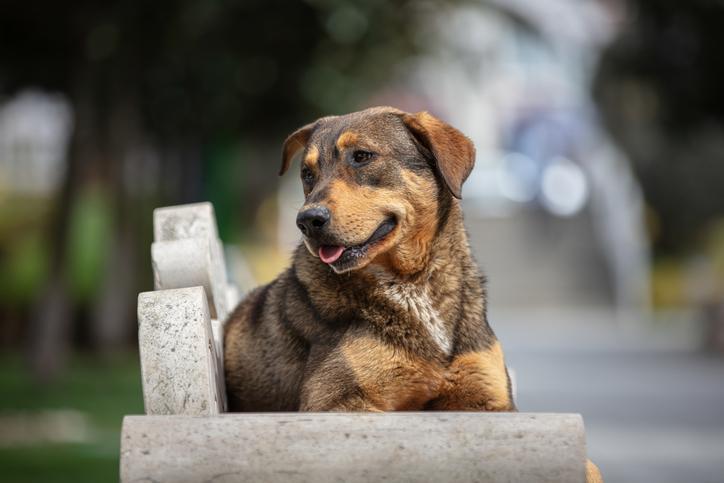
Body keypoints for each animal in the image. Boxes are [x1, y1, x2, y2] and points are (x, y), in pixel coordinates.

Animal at [223, 107, 604, 480]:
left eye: (362, 156)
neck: (412, 284)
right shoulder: (334, 402)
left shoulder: (490, 401)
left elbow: (590, 466)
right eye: (306, 173)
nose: (307, 220)